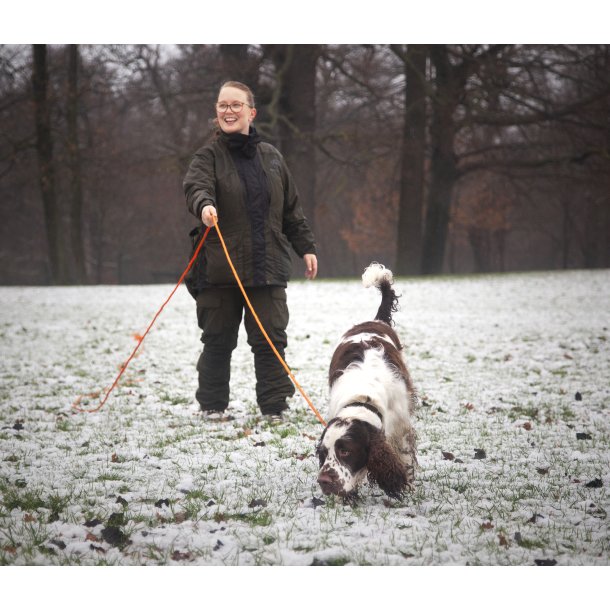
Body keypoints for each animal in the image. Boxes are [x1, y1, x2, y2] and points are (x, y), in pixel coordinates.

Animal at [316, 262, 416, 498]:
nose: (323, 481)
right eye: (323, 453)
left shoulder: (402, 428)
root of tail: (375, 320)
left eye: (345, 451)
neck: (364, 397)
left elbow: (405, 458)